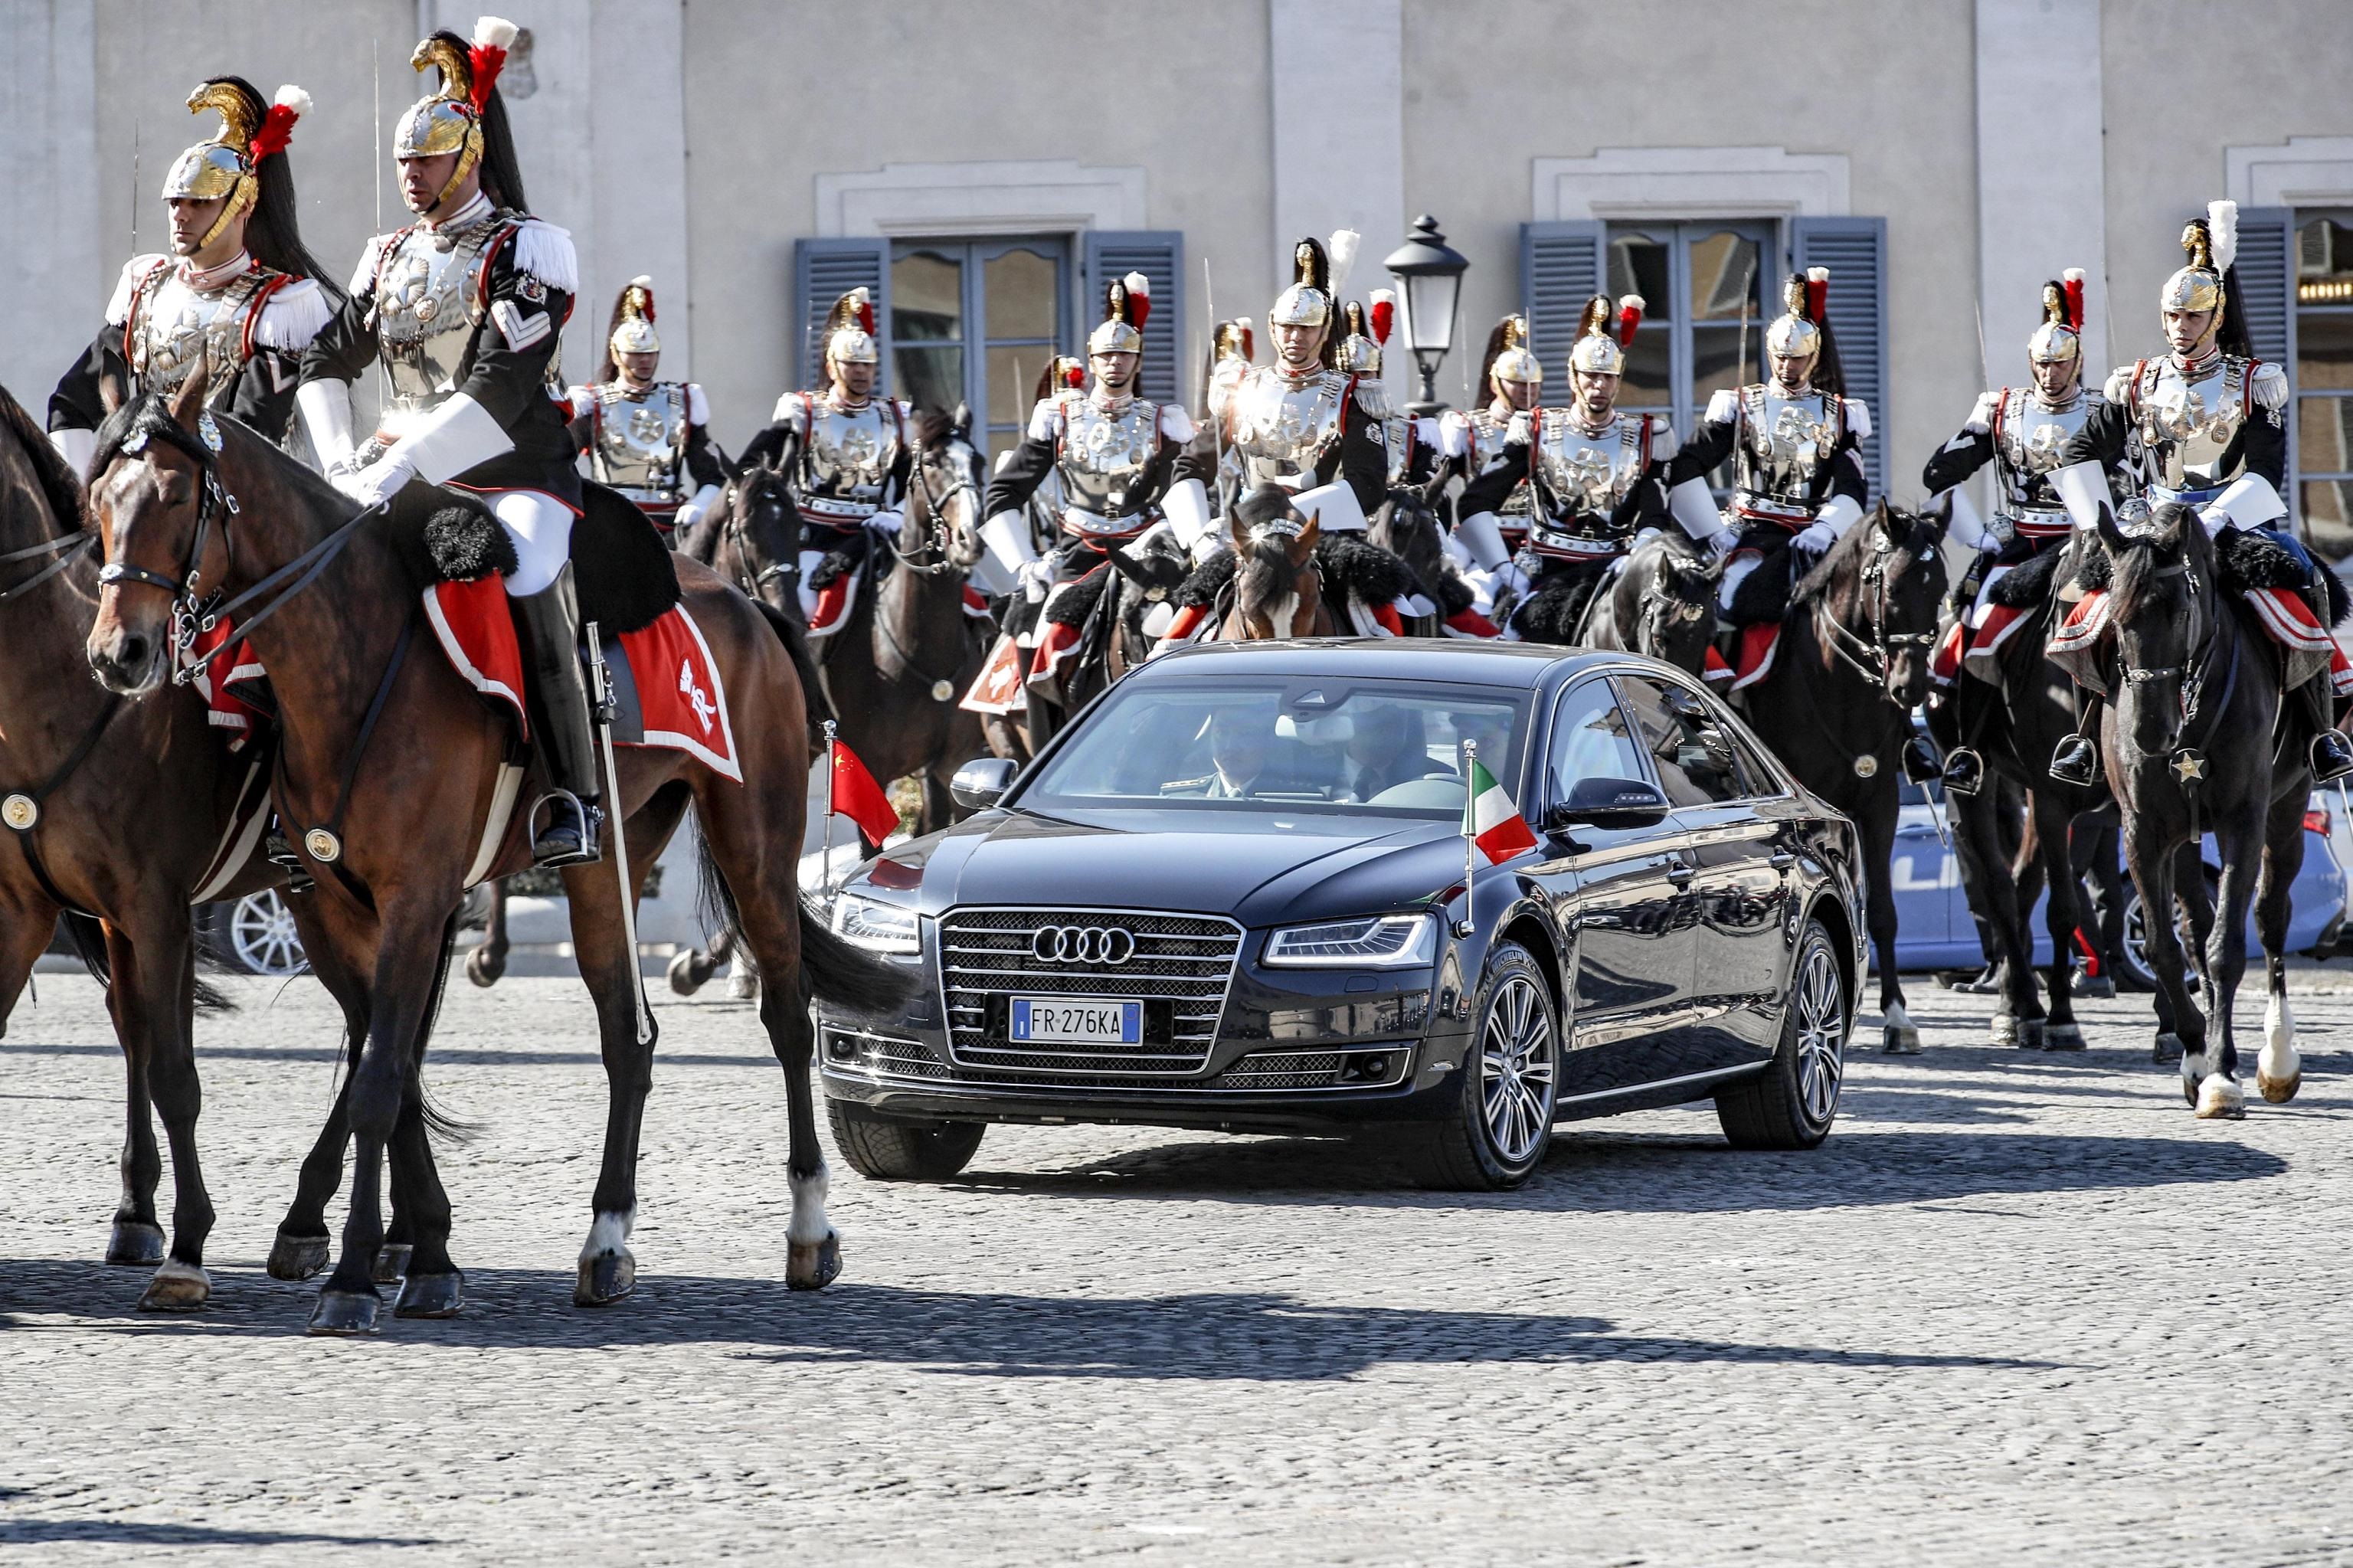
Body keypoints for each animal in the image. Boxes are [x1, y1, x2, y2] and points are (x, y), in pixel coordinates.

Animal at [0, 378, 280, 1308]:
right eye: (98, 500)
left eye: (180, 499)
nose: (121, 655)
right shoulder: (34, 910)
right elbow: (146, 1043)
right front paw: (148, 1216)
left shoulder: (157, 908)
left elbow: (176, 1075)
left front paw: (188, 1246)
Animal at [85, 369, 908, 1327]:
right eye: (100, 501)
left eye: (176, 496)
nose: (119, 651)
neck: (353, 658)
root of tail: (750, 608)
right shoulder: (333, 904)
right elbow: (391, 1066)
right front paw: (418, 1254)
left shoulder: (415, 898)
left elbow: (380, 1077)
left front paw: (358, 1274)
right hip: (606, 871)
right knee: (627, 1039)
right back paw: (607, 1241)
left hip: (757, 846)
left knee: (785, 1016)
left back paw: (810, 1231)